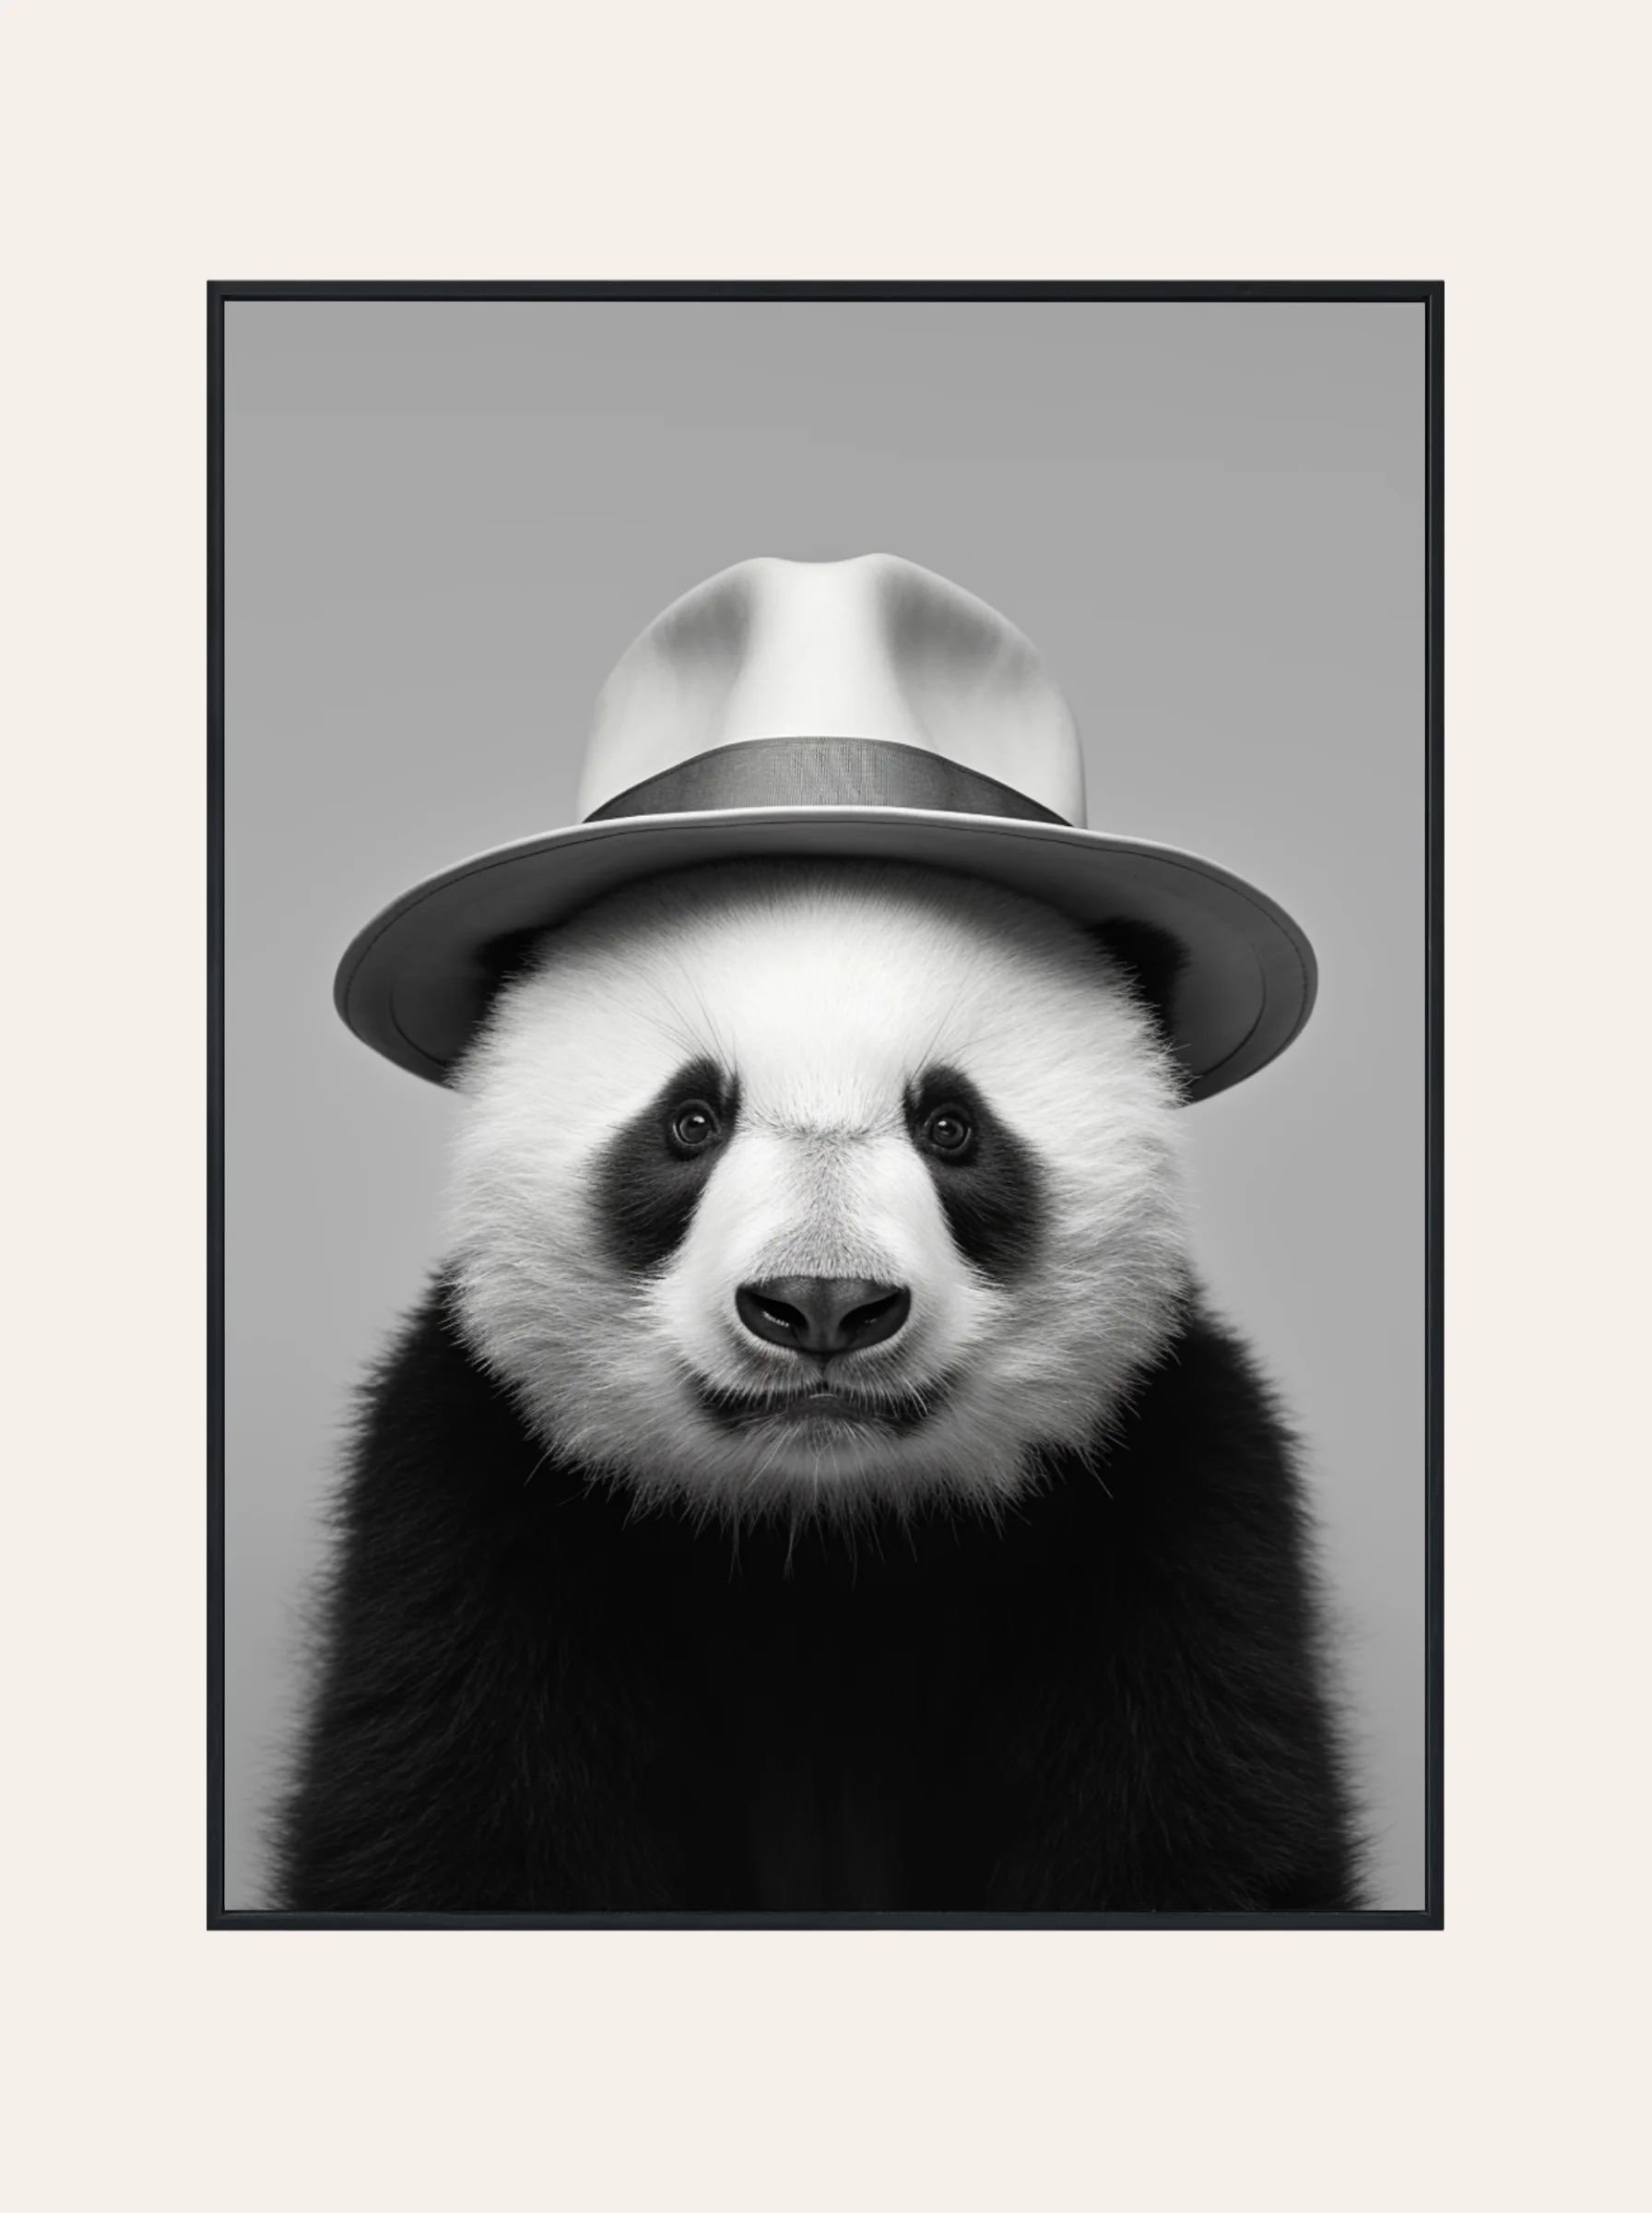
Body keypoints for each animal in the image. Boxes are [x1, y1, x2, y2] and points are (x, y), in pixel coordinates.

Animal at [277, 854, 1363, 1914]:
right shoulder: (471, 1502)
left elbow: (1195, 1822)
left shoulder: (1170, 1506)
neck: (821, 1531)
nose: (823, 1303)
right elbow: (457, 1818)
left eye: (951, 1127)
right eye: (691, 1121)